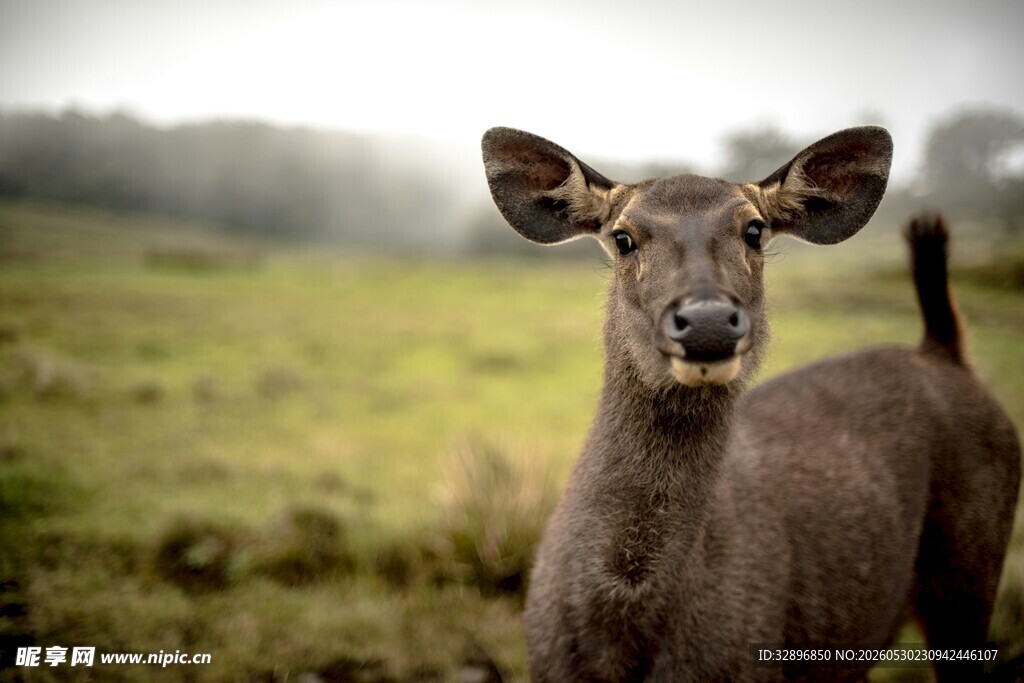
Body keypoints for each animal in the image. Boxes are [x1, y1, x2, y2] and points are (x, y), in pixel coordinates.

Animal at [480, 126, 1021, 682]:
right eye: (623, 237)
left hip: (971, 568)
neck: (617, 643)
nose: (708, 320)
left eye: (755, 230)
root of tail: (944, 352)